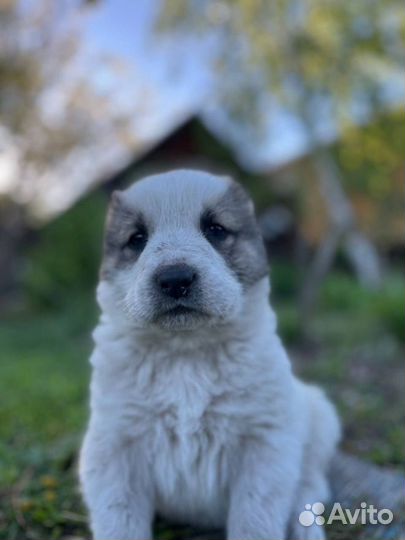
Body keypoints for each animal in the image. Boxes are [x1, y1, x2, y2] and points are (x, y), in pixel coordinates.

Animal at [78, 170, 338, 540]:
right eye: (137, 238)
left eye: (215, 229)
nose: (175, 279)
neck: (186, 352)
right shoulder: (113, 447)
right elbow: (119, 518)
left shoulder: (265, 443)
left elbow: (254, 518)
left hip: (321, 418)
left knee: (310, 487)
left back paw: (306, 530)